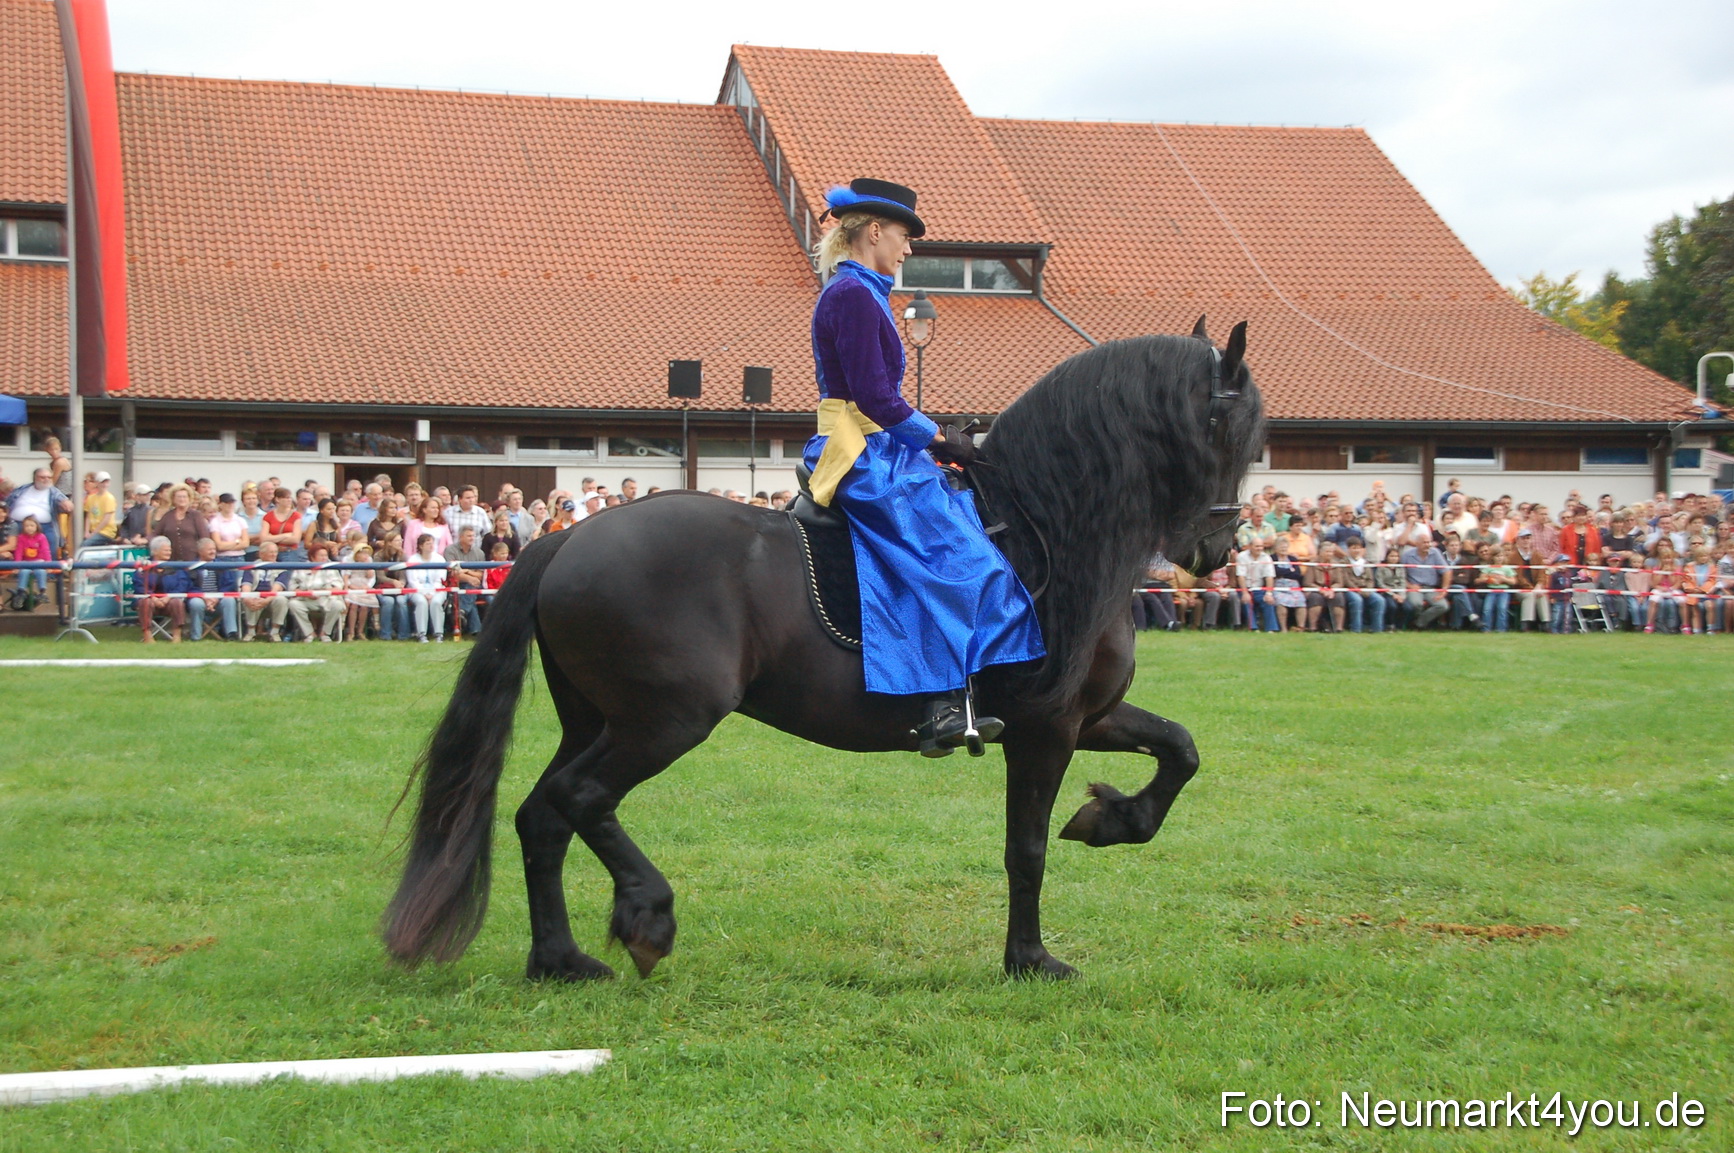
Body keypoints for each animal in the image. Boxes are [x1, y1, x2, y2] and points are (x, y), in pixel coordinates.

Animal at [384, 319, 1264, 981]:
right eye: (1227, 426)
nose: (1216, 549)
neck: (1045, 524)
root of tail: (568, 537)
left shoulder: (1088, 715)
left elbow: (1181, 749)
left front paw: (1115, 818)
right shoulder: (1046, 727)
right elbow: (1027, 847)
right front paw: (1030, 957)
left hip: (597, 719)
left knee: (543, 814)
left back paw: (559, 959)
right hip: (664, 720)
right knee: (580, 798)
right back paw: (646, 915)